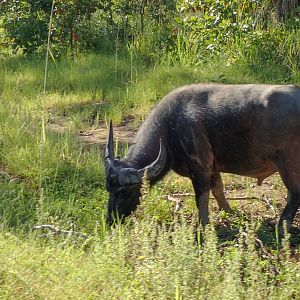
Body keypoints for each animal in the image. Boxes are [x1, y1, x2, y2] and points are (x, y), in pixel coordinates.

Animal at [105, 83, 300, 229]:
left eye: (124, 192)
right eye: (108, 189)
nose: (110, 220)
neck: (171, 125)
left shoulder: (200, 165)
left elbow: (202, 197)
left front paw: (203, 224)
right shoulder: (212, 166)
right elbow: (218, 189)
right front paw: (228, 212)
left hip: (287, 163)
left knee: (295, 193)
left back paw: (281, 226)